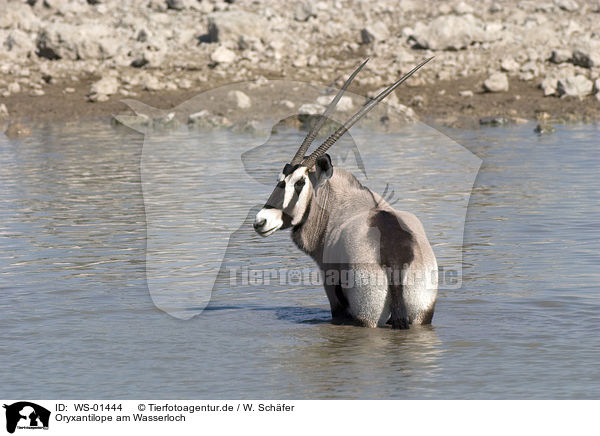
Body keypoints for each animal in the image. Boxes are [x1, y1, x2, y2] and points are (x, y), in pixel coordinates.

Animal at [251, 58, 438, 328]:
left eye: (299, 183)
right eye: (280, 180)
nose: (261, 221)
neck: (341, 204)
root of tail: (395, 261)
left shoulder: (331, 287)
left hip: (367, 316)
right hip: (420, 316)